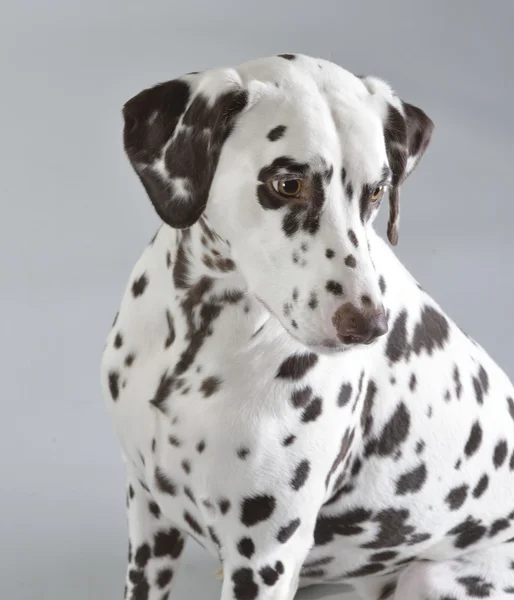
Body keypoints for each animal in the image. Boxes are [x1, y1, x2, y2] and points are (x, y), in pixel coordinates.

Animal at [102, 52, 512, 600]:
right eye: (287, 184)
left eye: (377, 191)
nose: (368, 325)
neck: (195, 341)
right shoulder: (149, 515)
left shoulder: (263, 557)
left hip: (430, 576)